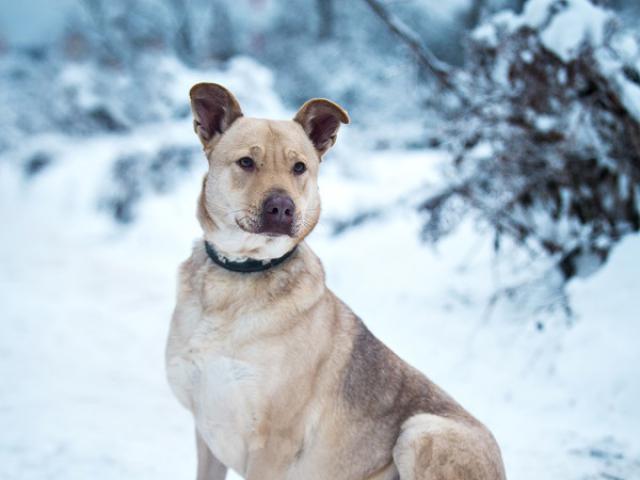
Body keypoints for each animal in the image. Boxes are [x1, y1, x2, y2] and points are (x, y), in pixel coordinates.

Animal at [168, 83, 508, 480]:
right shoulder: (206, 432)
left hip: (421, 431)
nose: (282, 208)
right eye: (247, 162)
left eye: (299, 167)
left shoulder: (273, 444)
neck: (239, 273)